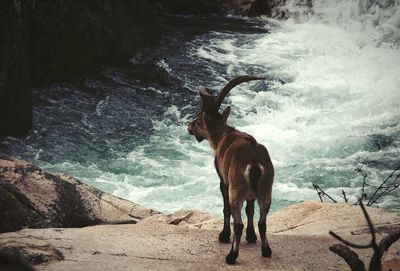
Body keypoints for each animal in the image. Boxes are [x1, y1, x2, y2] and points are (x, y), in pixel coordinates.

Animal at [188, 76, 276, 266]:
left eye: (198, 121)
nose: (188, 126)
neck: (222, 137)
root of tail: (254, 163)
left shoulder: (224, 181)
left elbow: (225, 209)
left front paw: (223, 235)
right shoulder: (251, 194)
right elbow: (250, 210)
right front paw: (251, 237)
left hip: (236, 189)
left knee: (238, 222)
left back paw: (231, 256)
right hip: (266, 190)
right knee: (262, 221)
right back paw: (266, 251)